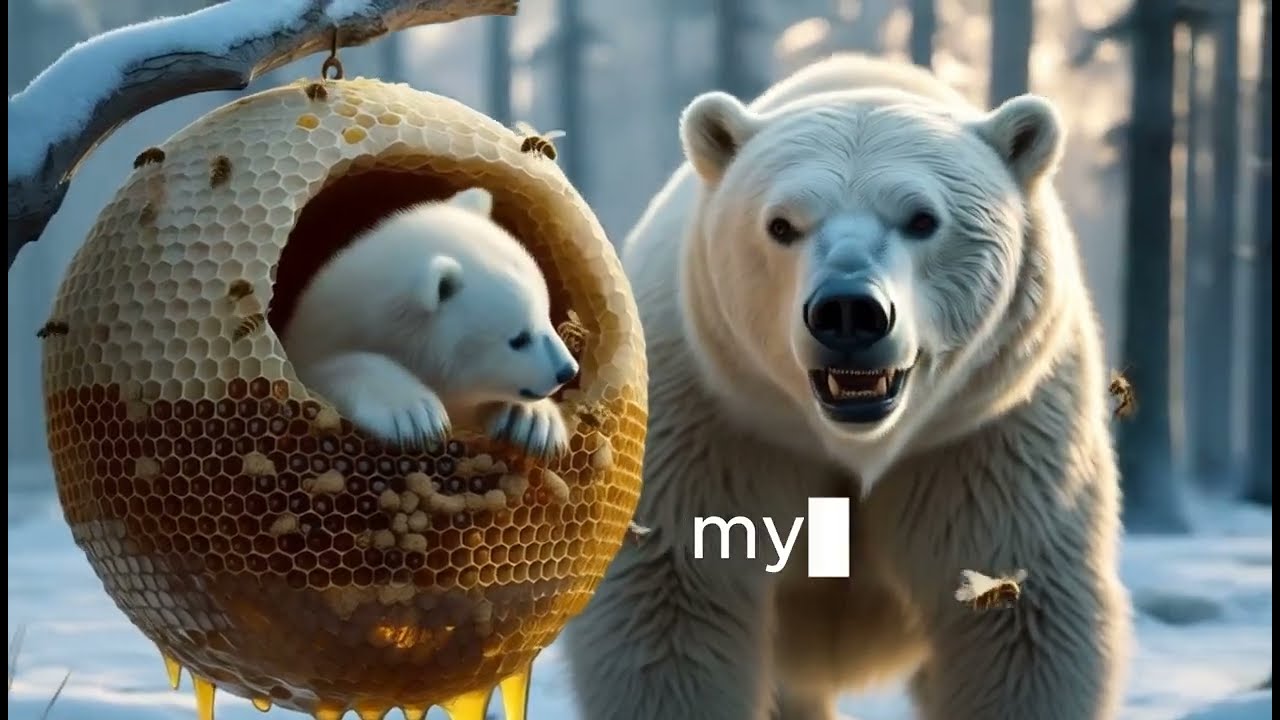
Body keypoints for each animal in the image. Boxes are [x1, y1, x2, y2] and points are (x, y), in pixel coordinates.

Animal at [281, 186, 580, 459]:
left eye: (547, 314)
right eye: (518, 339)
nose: (568, 371)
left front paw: (532, 420)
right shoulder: (307, 349)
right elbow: (333, 368)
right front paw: (414, 412)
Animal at [563, 53, 1131, 720]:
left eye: (922, 218)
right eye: (782, 224)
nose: (848, 311)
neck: (854, 443)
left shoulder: (987, 438)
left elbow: (1016, 621)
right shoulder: (711, 428)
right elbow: (672, 608)